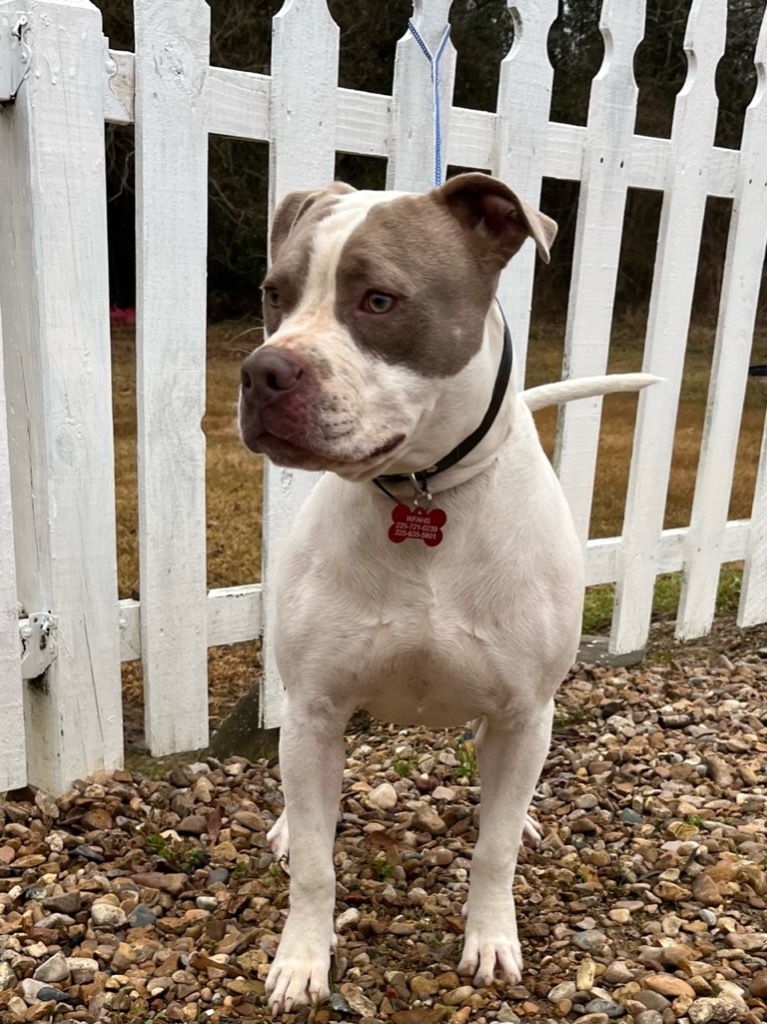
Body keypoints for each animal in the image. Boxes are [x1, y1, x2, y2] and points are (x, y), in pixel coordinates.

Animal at [237, 172, 651, 1011]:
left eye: (379, 300)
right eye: (274, 294)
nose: (262, 372)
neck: (420, 492)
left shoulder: (525, 712)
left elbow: (492, 853)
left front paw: (490, 939)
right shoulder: (315, 709)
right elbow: (317, 867)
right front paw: (302, 959)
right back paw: (290, 826)